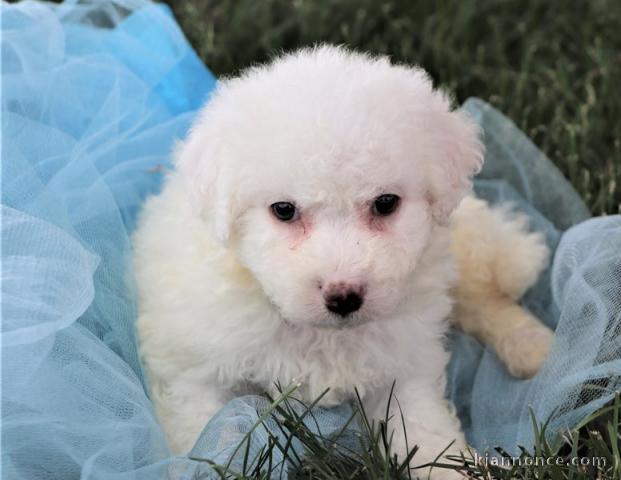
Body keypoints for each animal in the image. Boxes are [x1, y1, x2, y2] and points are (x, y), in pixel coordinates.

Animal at [133, 45, 548, 476]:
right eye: (283, 210)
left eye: (385, 203)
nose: (344, 296)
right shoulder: (192, 374)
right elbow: (212, 438)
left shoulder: (405, 365)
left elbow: (426, 436)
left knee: (485, 294)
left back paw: (534, 346)